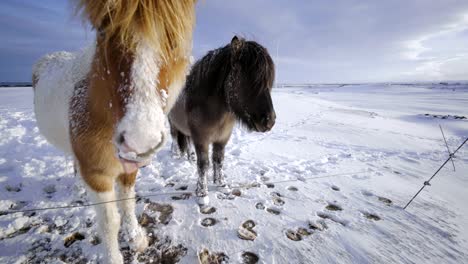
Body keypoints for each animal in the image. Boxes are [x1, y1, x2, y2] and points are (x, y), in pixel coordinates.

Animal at [31, 1, 196, 262]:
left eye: (173, 36)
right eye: (102, 31)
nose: (140, 139)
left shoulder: (129, 169)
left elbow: (127, 203)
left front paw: (136, 239)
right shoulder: (97, 175)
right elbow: (109, 222)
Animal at [168, 35, 276, 204]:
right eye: (249, 78)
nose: (270, 121)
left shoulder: (222, 138)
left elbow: (218, 160)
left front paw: (221, 184)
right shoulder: (202, 139)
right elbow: (204, 164)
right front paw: (202, 193)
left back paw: (190, 156)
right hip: (172, 124)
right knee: (174, 137)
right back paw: (175, 152)